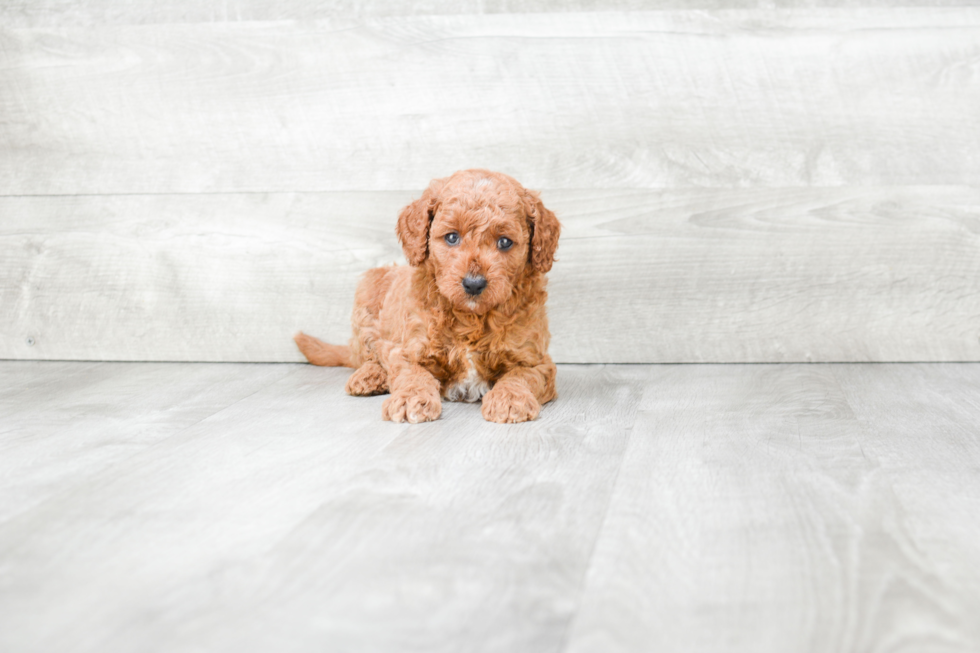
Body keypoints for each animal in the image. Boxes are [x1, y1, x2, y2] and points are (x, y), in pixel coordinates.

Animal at [292, 168, 560, 422]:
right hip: (367, 295)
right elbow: (413, 373)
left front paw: (511, 399)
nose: (473, 284)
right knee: (369, 354)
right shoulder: (407, 349)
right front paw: (411, 399)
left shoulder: (536, 359)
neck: (470, 318)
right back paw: (370, 376)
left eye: (504, 242)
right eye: (452, 237)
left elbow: (522, 375)